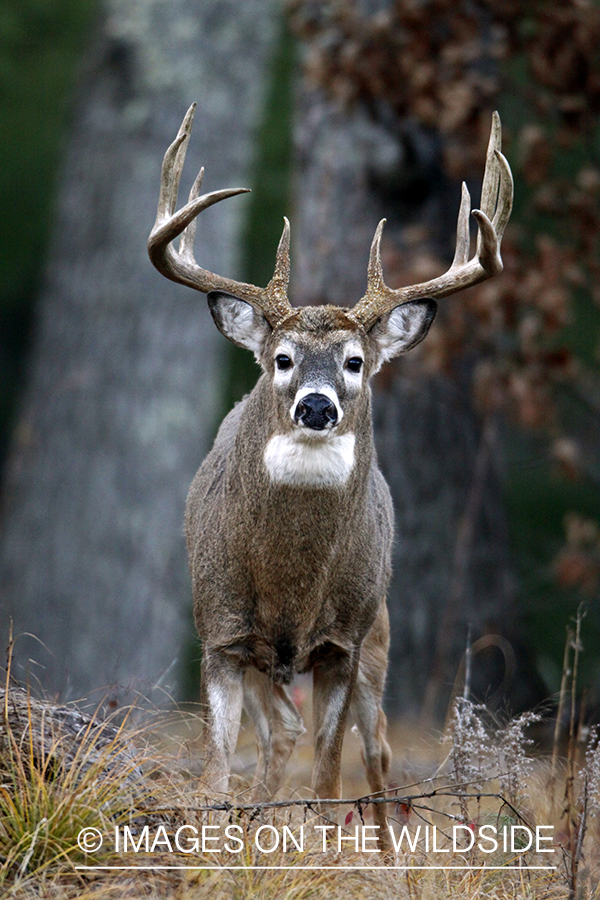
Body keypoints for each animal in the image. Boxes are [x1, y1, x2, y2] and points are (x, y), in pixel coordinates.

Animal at [148, 102, 512, 848]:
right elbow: (215, 773)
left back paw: (384, 852)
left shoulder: (343, 639)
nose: (317, 406)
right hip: (272, 663)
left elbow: (325, 781)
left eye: (355, 360)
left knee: (378, 755)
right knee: (282, 735)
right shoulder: (220, 631)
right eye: (282, 357)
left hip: (381, 635)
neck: (290, 584)